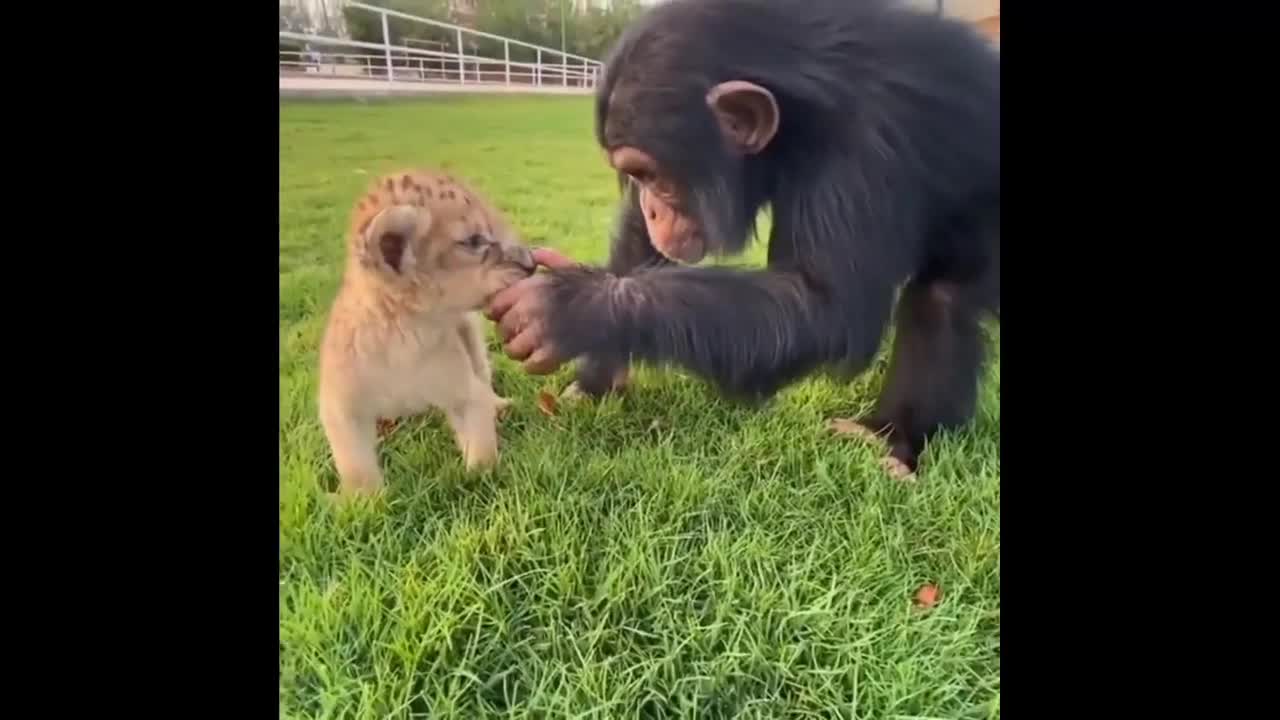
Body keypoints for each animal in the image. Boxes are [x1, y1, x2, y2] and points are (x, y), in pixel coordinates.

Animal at [488, 0, 998, 476]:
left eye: (651, 174)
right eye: (635, 176)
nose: (653, 206)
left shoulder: (866, 143)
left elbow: (825, 303)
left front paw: (573, 308)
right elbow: (638, 243)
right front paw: (597, 375)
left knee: (940, 300)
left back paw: (889, 436)